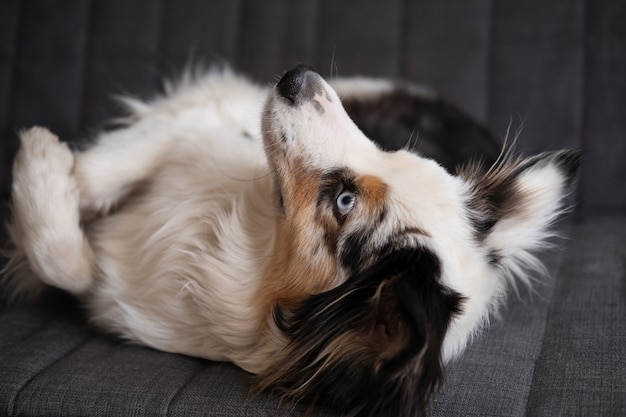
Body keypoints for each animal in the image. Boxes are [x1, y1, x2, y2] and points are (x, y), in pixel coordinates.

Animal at [3, 63, 580, 414]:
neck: (255, 241)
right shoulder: (208, 122)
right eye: (395, 152)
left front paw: (40, 156)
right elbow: (111, 167)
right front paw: (61, 166)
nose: (299, 76)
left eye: (344, 201)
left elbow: (73, 266)